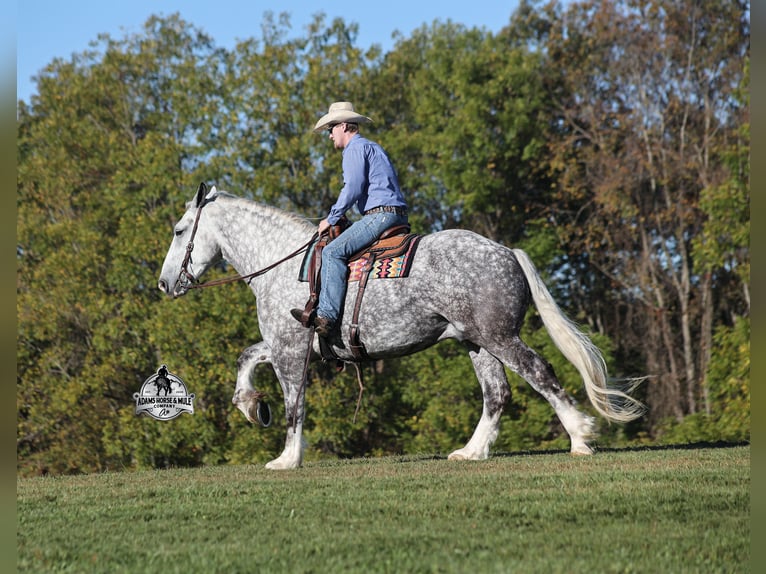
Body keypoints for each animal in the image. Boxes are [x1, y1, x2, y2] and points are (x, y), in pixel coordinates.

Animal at [158, 183, 644, 469]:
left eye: (180, 230)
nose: (164, 283)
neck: (283, 263)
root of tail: (507, 251)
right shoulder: (285, 342)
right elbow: (246, 357)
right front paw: (251, 405)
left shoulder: (290, 347)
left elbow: (295, 402)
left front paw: (286, 458)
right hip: (477, 343)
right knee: (497, 394)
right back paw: (471, 452)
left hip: (500, 337)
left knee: (540, 374)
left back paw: (580, 438)